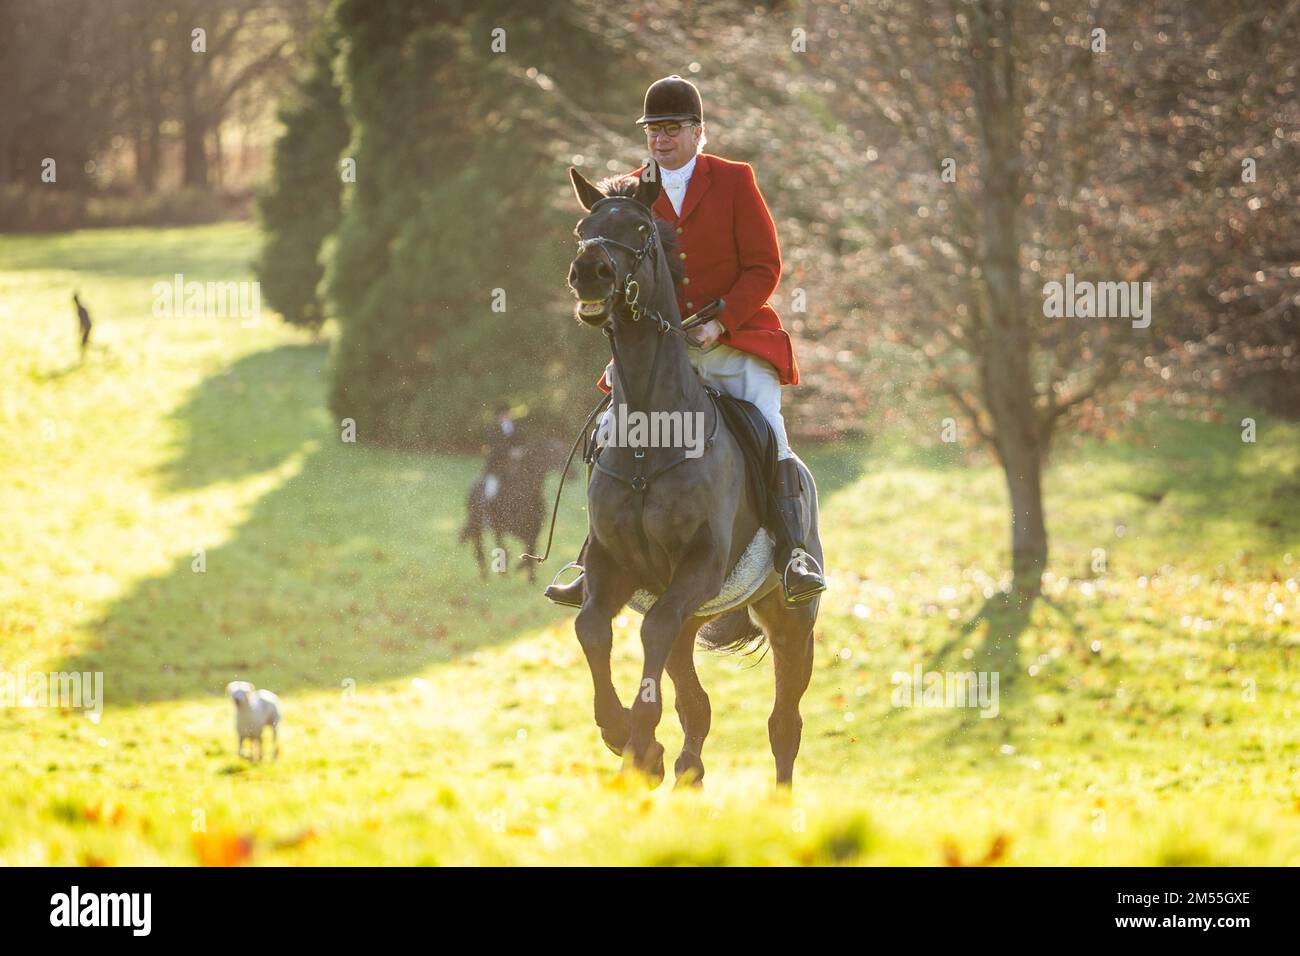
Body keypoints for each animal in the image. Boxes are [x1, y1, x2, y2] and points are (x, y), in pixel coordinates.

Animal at [561, 166, 821, 785]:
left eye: (639, 229)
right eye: (583, 228)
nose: (589, 273)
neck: (650, 439)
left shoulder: (700, 564)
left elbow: (648, 632)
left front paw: (638, 739)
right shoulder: (613, 564)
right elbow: (591, 627)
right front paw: (621, 733)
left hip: (790, 621)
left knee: (784, 723)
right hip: (687, 609)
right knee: (693, 698)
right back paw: (684, 768)